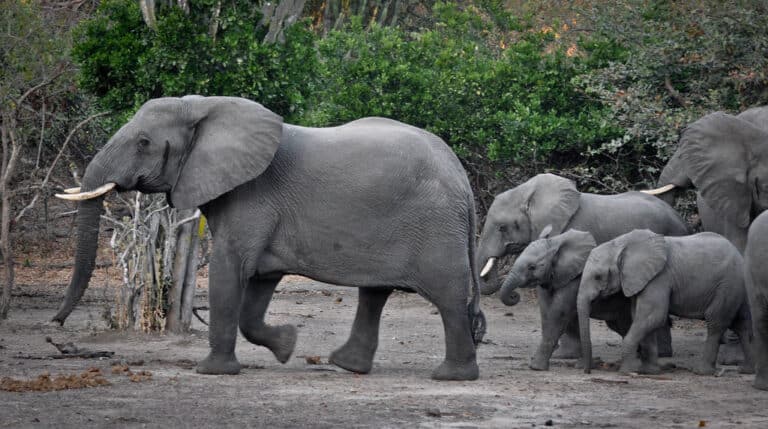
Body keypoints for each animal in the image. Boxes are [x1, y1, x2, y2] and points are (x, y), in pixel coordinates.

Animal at [52, 96, 486, 381]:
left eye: (143, 142)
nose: (55, 324)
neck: (206, 106)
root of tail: (461, 177)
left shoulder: (252, 197)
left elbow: (229, 271)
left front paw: (212, 372)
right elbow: (258, 285)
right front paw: (288, 345)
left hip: (435, 227)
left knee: (447, 296)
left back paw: (451, 376)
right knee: (375, 292)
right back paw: (347, 365)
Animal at [499, 227, 638, 371]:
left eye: (532, 267)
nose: (514, 295)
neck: (556, 243)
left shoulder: (575, 279)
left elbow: (559, 313)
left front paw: (536, 367)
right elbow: (546, 312)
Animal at [577, 229, 754, 376]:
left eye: (598, 276)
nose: (588, 371)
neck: (620, 244)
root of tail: (739, 254)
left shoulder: (659, 277)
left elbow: (653, 315)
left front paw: (627, 372)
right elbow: (641, 317)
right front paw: (649, 372)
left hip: (727, 284)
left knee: (716, 321)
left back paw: (702, 372)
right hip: (737, 286)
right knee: (741, 324)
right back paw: (746, 370)